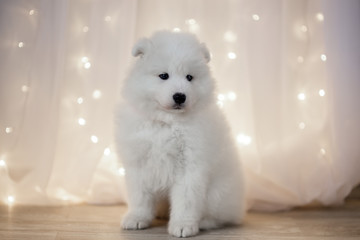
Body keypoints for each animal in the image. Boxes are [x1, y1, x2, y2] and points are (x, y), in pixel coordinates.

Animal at [115, 30, 245, 238]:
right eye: (163, 76)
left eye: (189, 77)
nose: (179, 96)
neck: (167, 123)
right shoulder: (139, 163)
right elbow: (140, 196)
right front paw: (136, 218)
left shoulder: (190, 166)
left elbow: (186, 201)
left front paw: (183, 225)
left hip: (217, 195)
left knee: (220, 217)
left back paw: (204, 222)